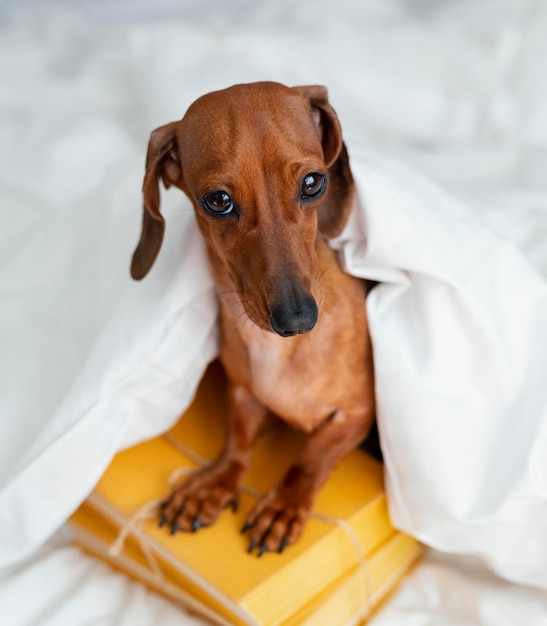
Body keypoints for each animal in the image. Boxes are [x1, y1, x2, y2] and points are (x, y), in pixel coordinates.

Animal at [132, 80, 376, 552]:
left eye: (314, 182)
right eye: (218, 200)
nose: (297, 319)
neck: (274, 352)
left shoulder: (360, 411)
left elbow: (312, 456)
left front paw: (283, 506)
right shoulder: (243, 390)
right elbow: (238, 440)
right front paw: (214, 483)